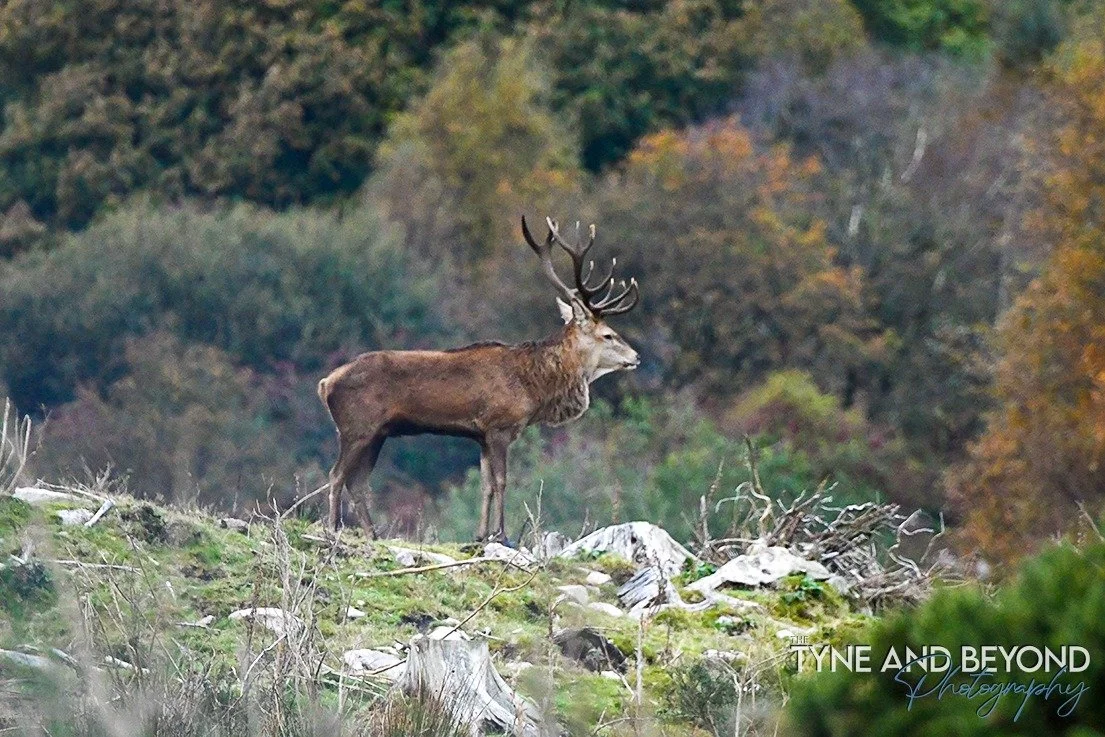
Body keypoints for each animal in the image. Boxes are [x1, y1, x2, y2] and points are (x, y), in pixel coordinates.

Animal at [317, 216, 640, 542]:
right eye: (608, 335)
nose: (636, 356)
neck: (534, 388)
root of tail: (325, 383)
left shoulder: (481, 435)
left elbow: (485, 485)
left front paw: (480, 535)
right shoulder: (499, 427)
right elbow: (501, 481)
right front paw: (501, 534)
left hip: (378, 433)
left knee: (357, 482)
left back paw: (372, 534)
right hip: (356, 426)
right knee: (336, 475)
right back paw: (332, 528)